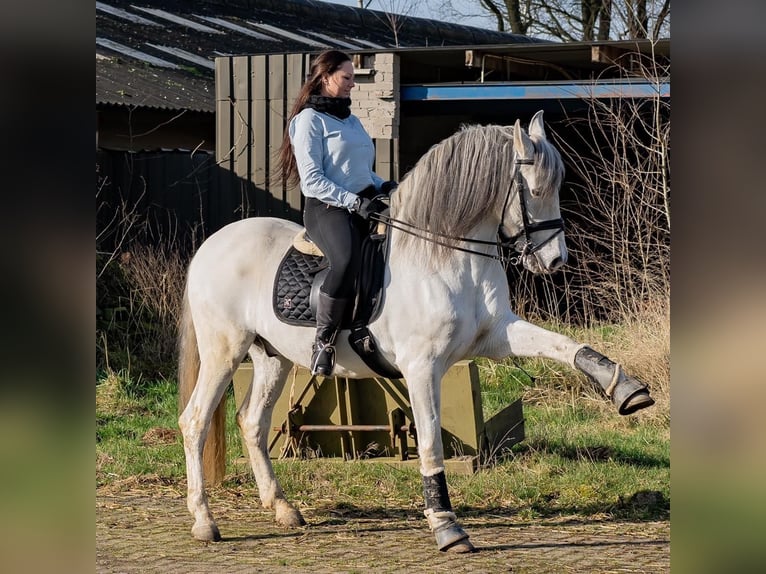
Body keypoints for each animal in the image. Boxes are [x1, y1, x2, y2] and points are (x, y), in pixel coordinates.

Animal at [178, 110, 656, 556]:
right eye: (535, 190)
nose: (555, 261)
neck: (446, 253)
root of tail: (211, 244)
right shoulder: (422, 367)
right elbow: (429, 441)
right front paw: (446, 526)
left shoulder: (497, 334)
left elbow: (566, 346)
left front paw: (627, 390)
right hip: (224, 350)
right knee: (195, 420)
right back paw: (204, 522)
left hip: (271, 358)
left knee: (252, 423)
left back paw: (283, 509)